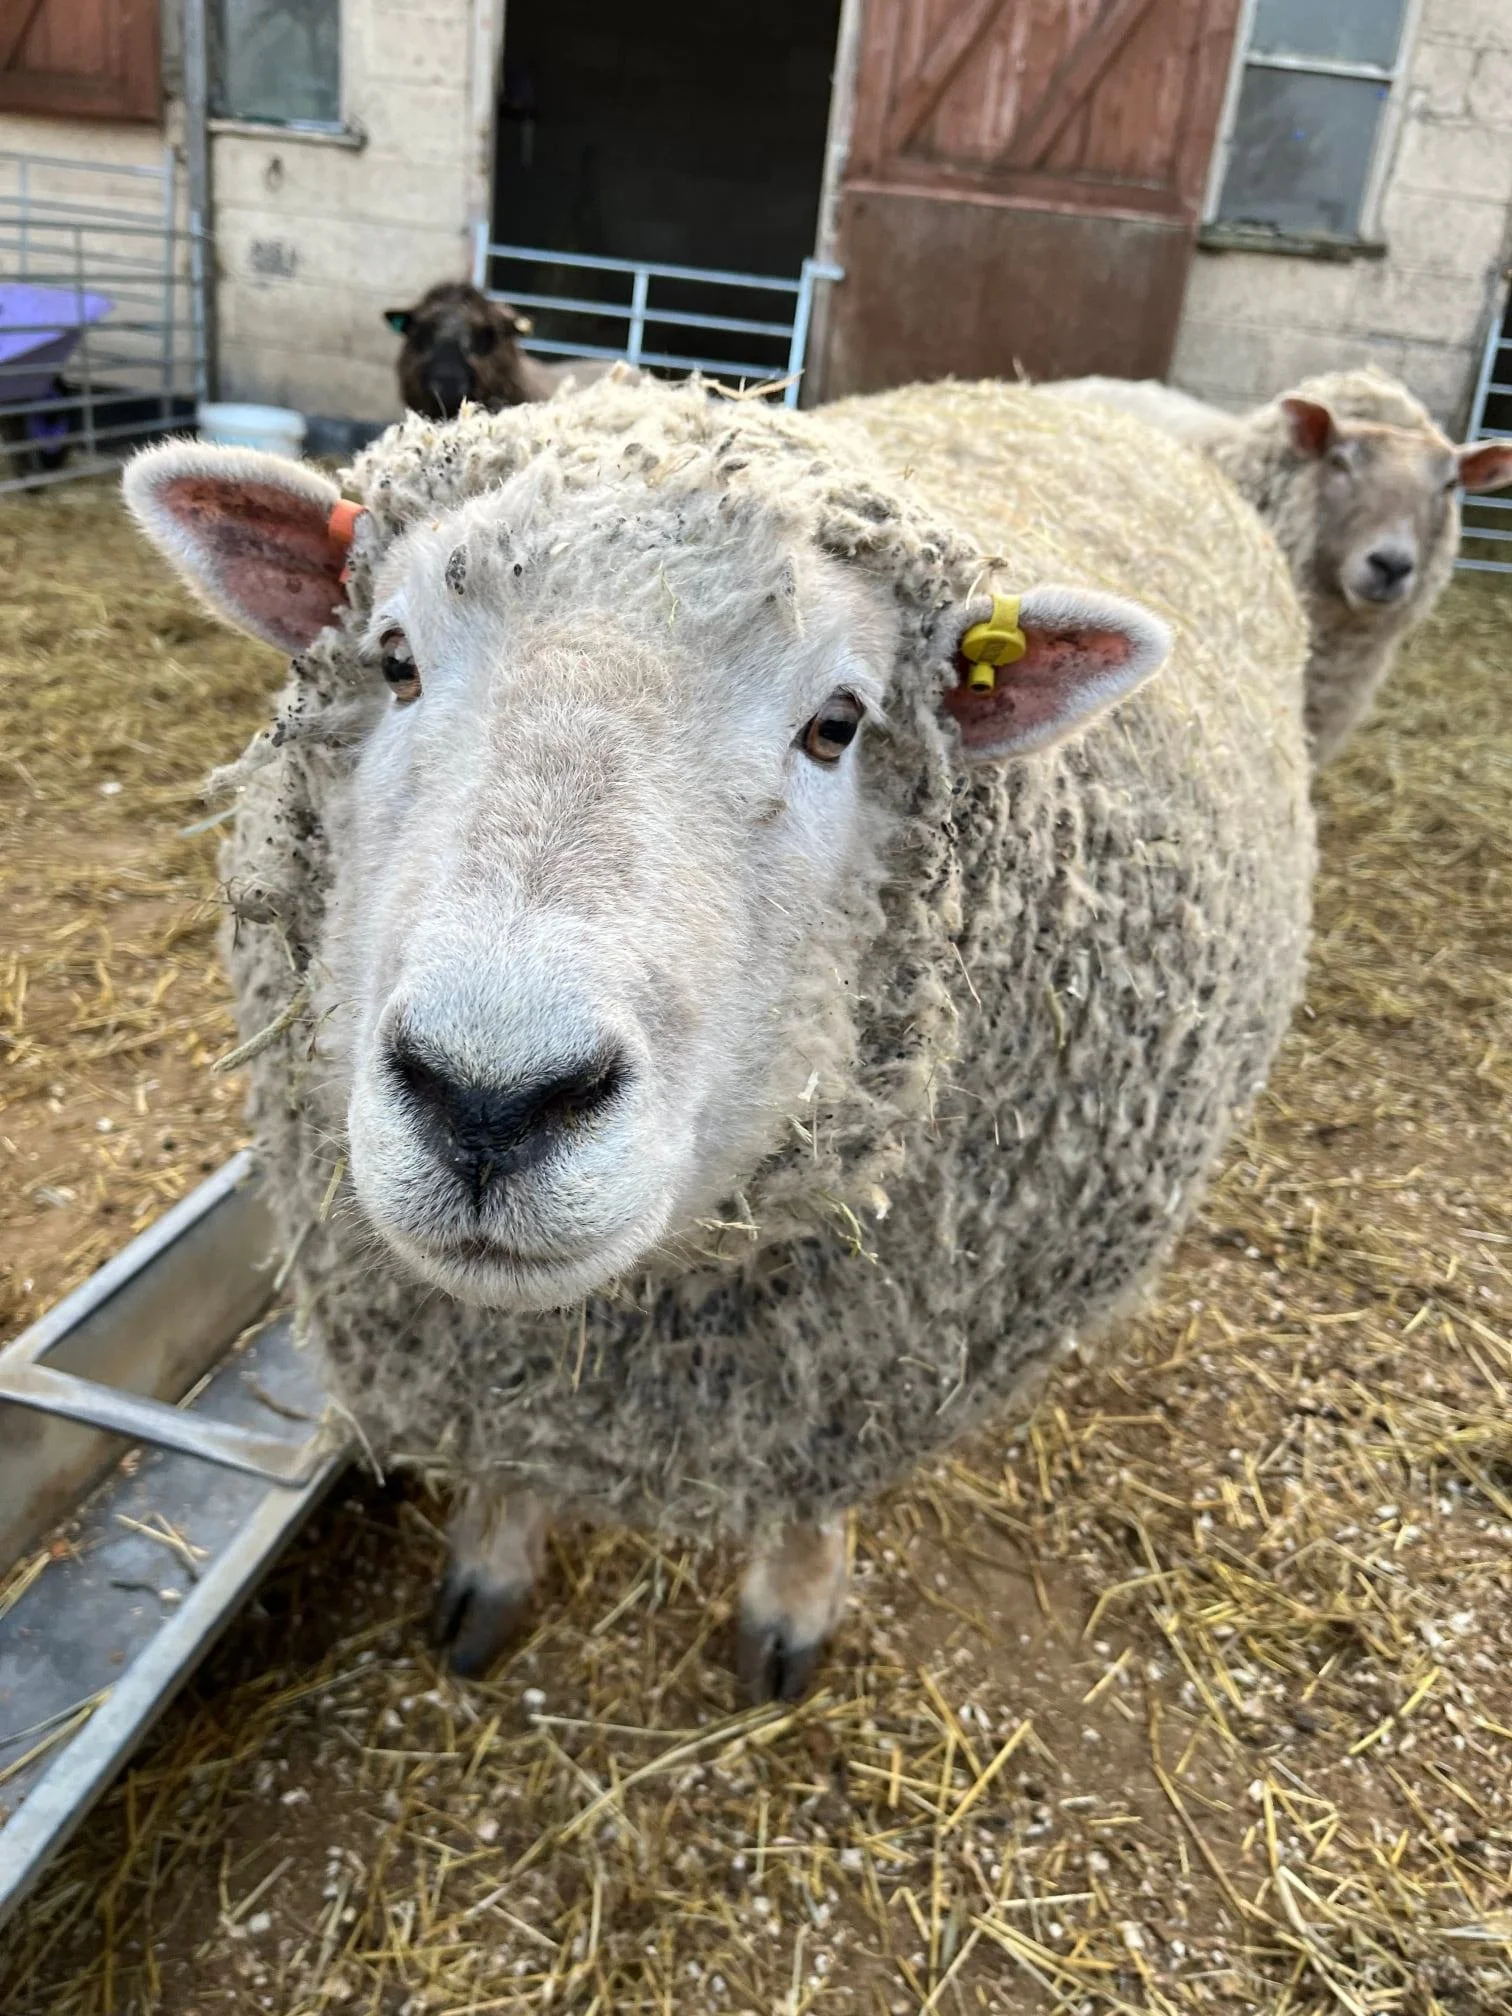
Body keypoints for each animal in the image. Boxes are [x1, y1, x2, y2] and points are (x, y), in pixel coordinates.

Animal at [123, 372, 1314, 1700]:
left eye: (839, 724)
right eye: (393, 659)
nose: (489, 1101)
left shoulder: (852, 1385)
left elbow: (808, 1500)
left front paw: (790, 1609)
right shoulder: (497, 1376)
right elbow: (507, 1467)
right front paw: (489, 1568)